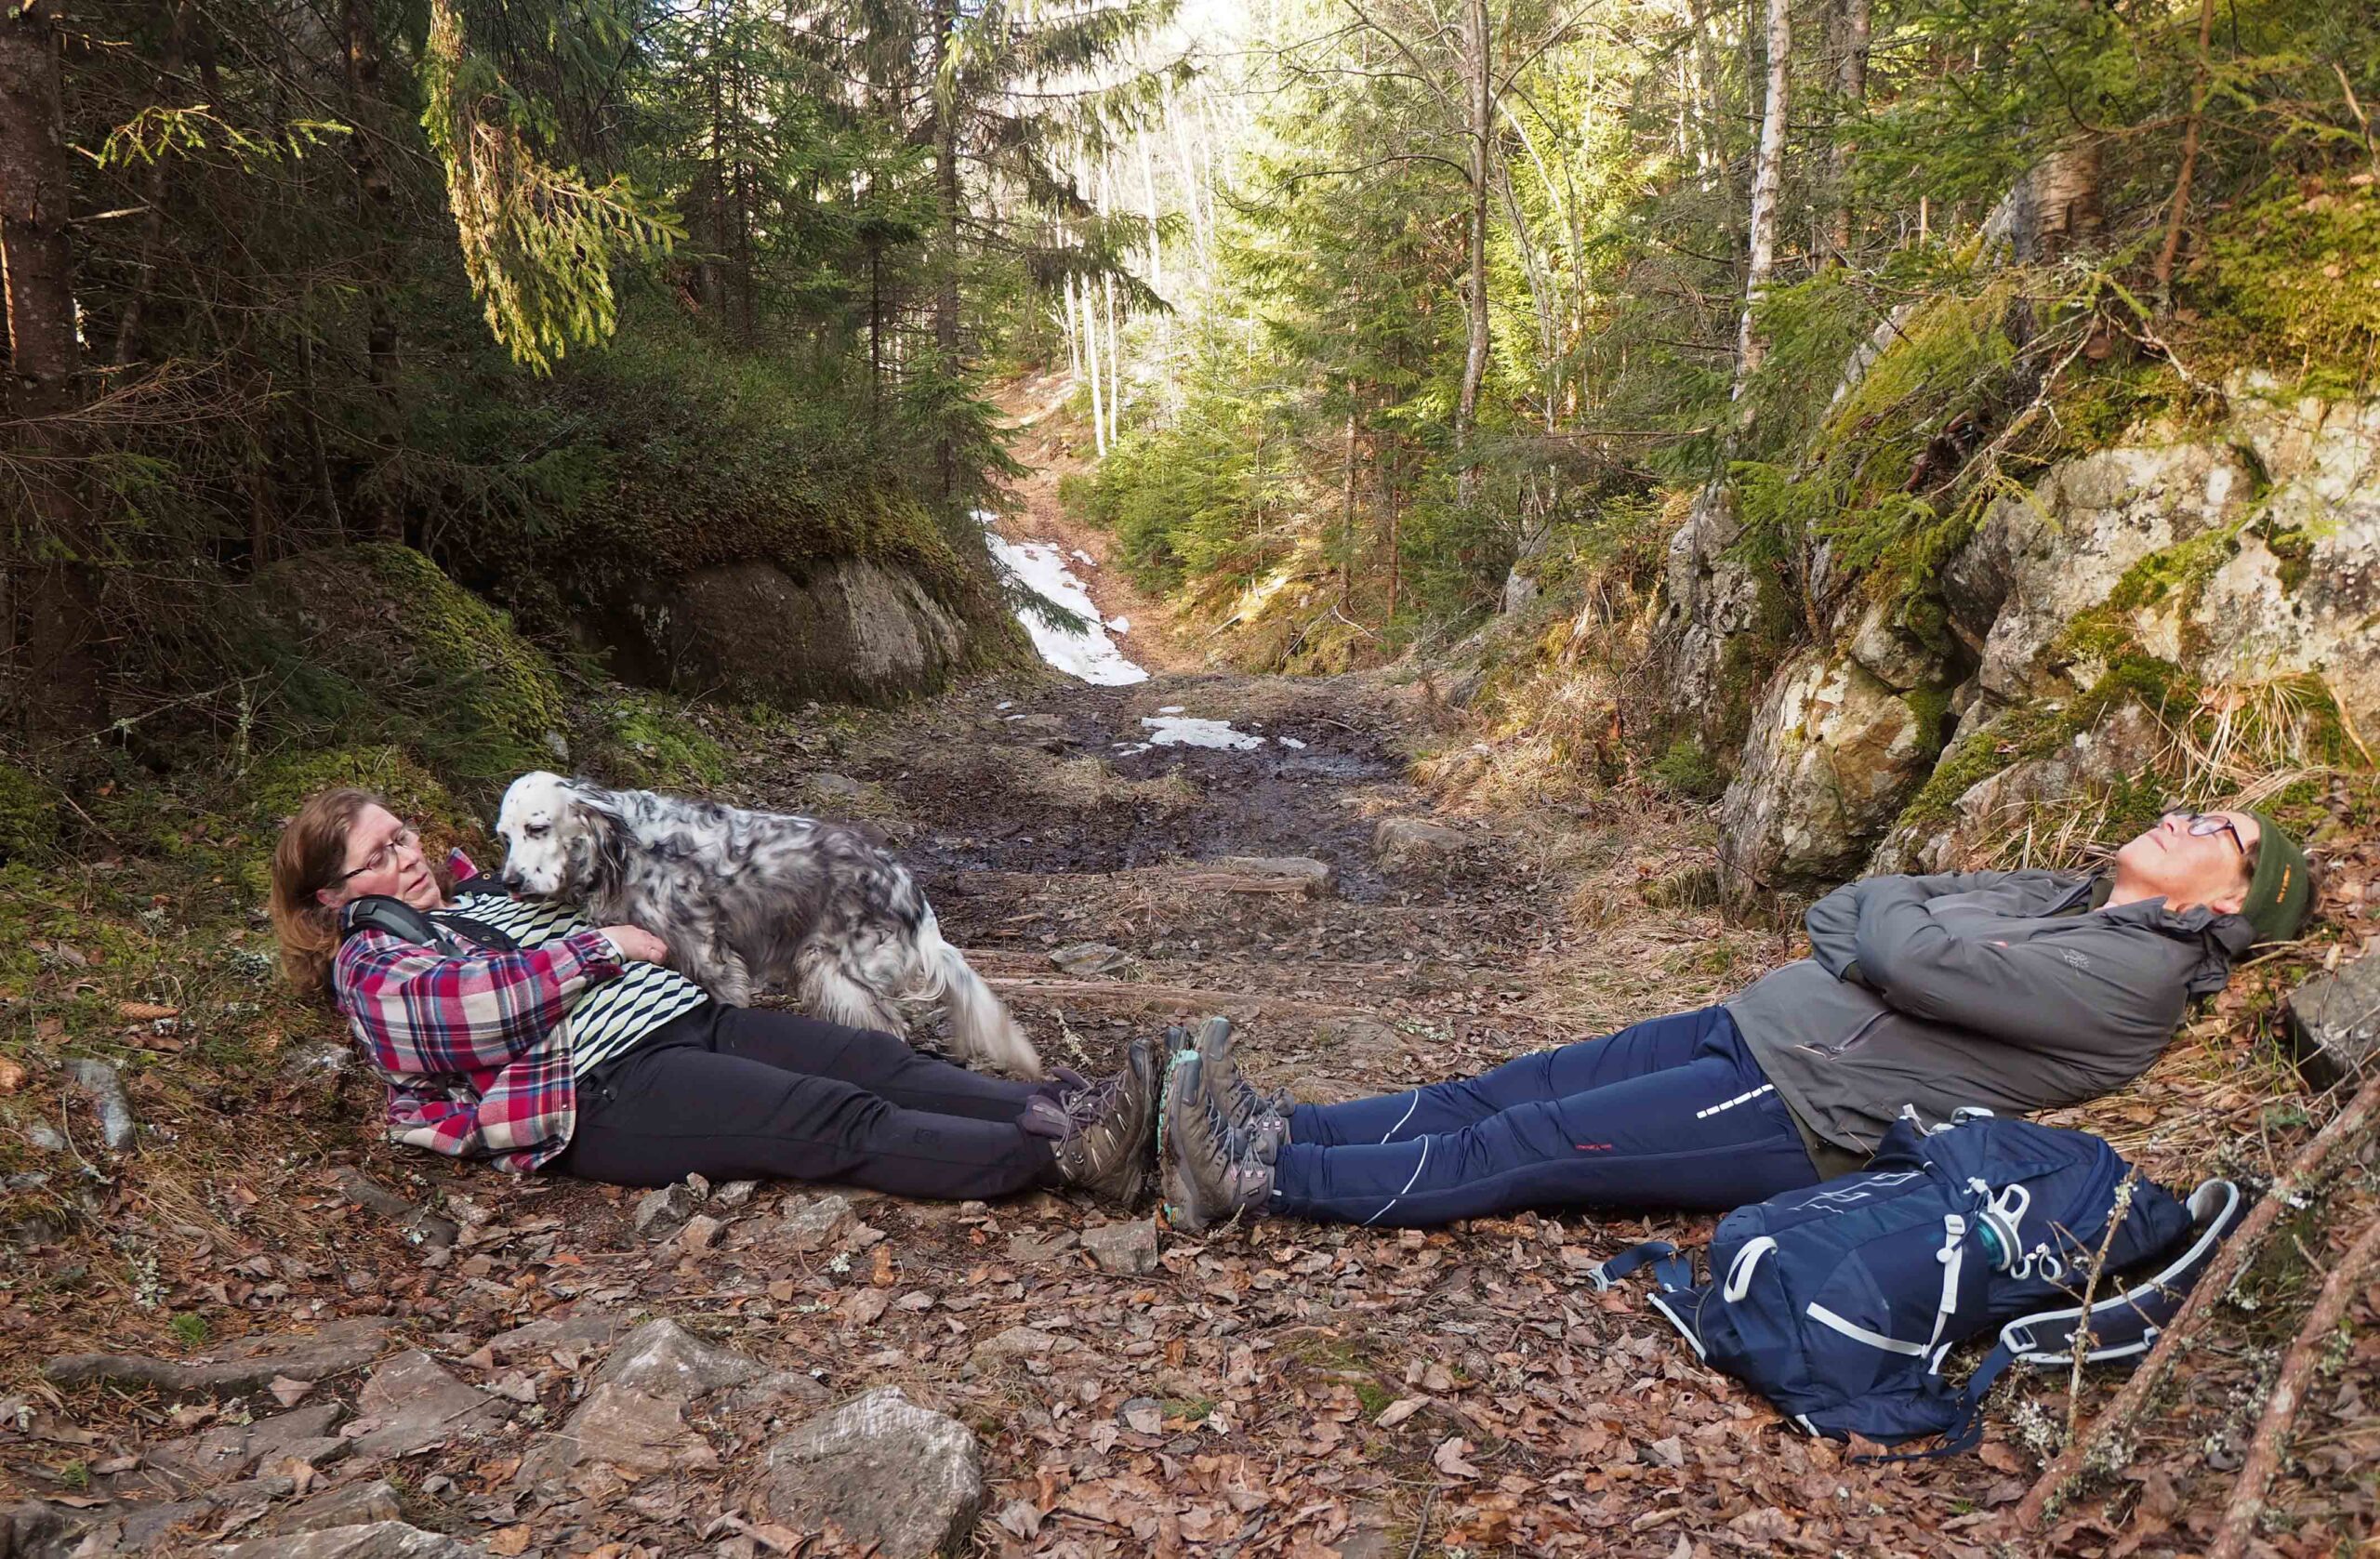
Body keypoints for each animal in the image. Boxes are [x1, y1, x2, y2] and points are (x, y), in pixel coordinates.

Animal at [492, 771, 1042, 1085]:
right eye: (504, 836)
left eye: (537, 828)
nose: (511, 882)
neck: (627, 848)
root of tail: (913, 896)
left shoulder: (709, 956)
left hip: (836, 972)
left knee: (891, 1028)